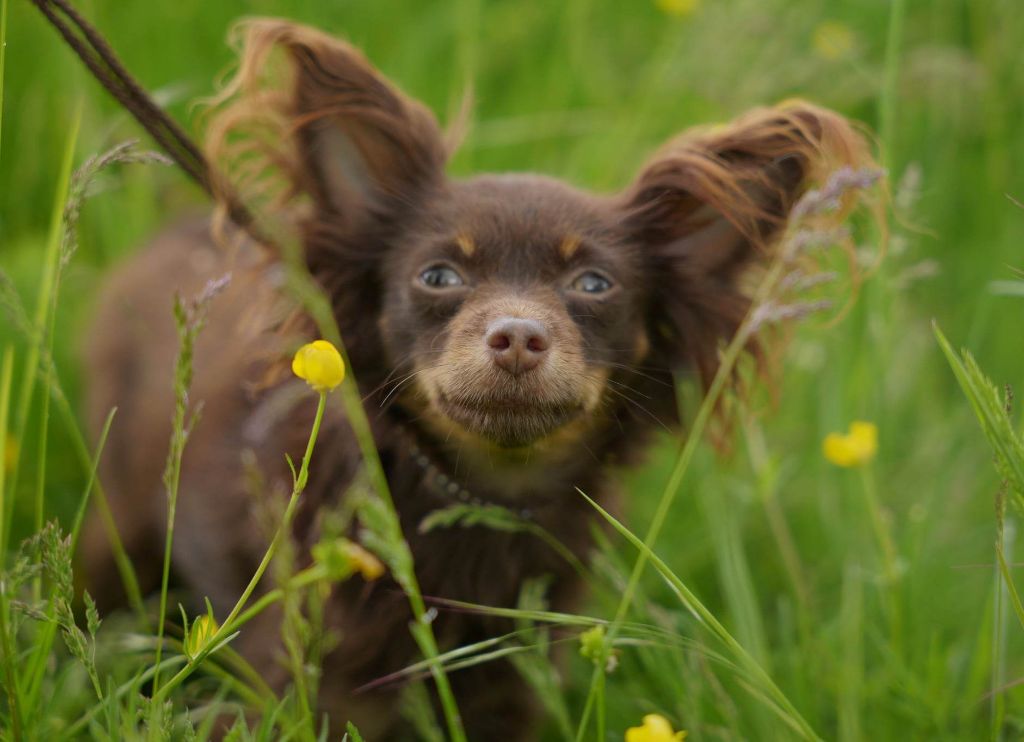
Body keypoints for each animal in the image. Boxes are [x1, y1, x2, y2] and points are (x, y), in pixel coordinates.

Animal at [83, 18, 872, 740]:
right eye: (438, 276)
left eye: (594, 284)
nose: (518, 336)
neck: (482, 498)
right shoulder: (301, 683)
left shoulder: (510, 692)